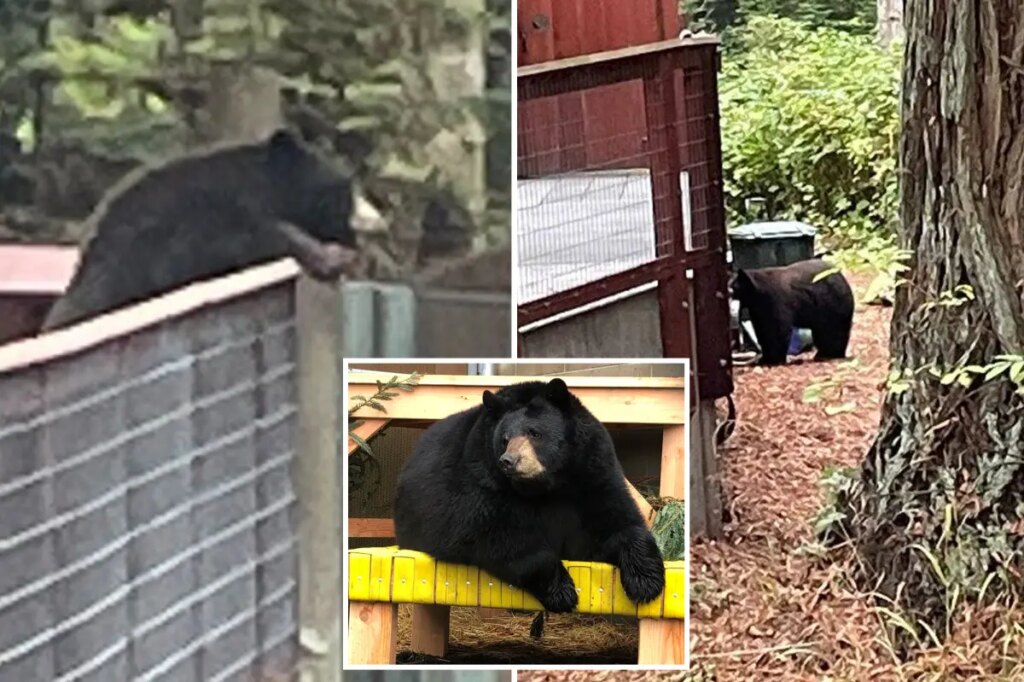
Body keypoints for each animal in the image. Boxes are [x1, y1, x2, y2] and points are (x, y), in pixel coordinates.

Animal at [393, 378, 666, 613]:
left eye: (535, 433)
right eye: (504, 439)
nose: (508, 461)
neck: (547, 487)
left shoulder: (591, 474)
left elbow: (614, 523)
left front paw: (646, 581)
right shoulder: (480, 482)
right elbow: (495, 536)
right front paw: (562, 591)